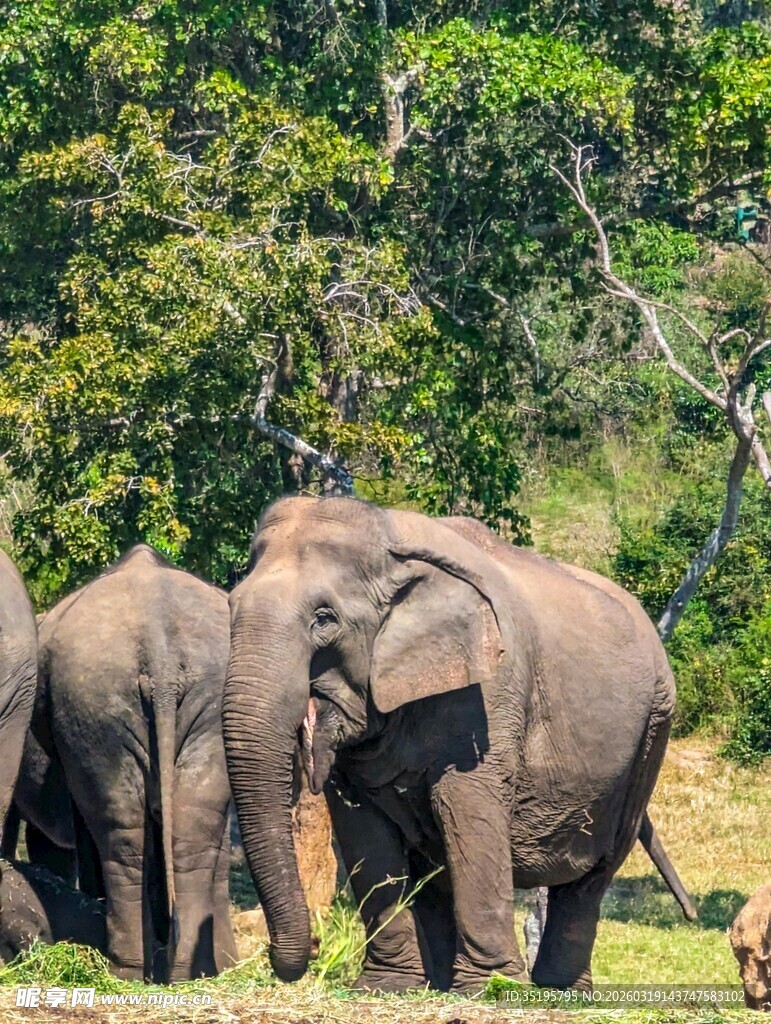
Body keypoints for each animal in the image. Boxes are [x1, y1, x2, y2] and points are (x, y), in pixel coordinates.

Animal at [31, 545, 237, 982]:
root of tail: (160, 651)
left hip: (92, 706)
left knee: (119, 832)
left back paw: (123, 971)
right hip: (202, 700)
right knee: (191, 830)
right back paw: (184, 972)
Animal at [223, 496, 682, 994]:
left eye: (324, 619)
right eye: (230, 605)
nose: (309, 949)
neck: (392, 539)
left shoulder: (488, 693)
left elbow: (464, 806)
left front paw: (491, 988)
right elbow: (362, 828)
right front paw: (387, 986)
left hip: (652, 730)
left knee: (595, 871)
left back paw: (559, 990)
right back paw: (444, 982)